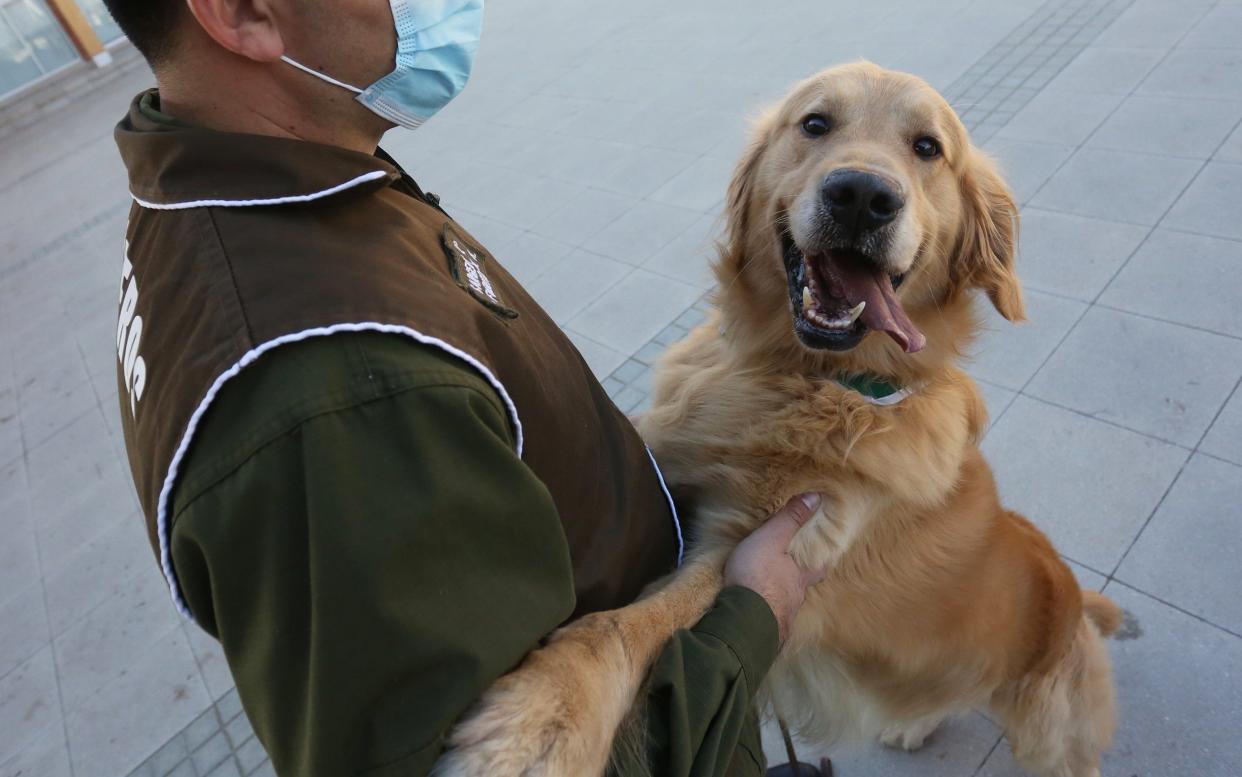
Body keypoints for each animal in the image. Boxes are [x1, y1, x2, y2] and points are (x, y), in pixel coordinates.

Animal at [434, 60, 1117, 774]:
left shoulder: (756, 548)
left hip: (1048, 727)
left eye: (928, 147)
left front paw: (545, 716)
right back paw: (912, 725)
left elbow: (628, 625)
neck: (801, 378)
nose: (861, 195)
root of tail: (1076, 603)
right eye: (815, 123)